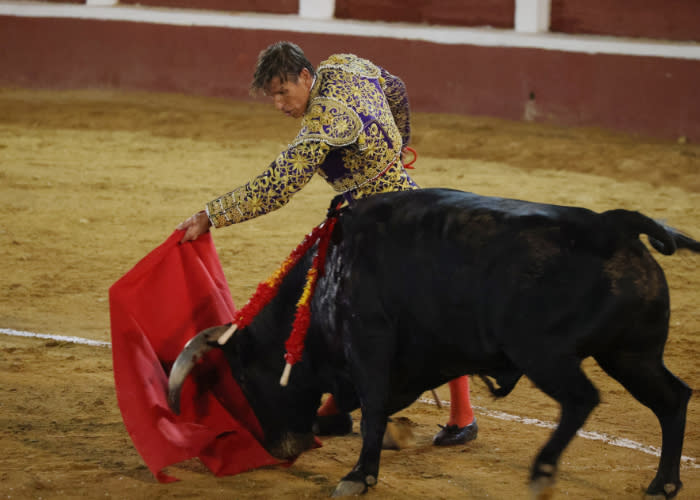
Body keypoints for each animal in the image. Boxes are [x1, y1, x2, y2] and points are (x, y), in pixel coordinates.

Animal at [167, 189, 696, 498]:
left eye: (243, 374)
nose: (279, 447)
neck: (329, 273)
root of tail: (613, 224)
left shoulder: (369, 346)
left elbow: (373, 412)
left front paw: (359, 476)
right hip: (630, 355)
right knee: (673, 399)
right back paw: (663, 483)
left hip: (546, 355)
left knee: (583, 399)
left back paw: (545, 471)